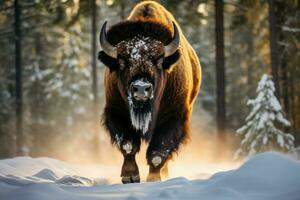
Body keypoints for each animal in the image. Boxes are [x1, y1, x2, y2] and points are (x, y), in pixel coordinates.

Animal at [99, 0, 202, 184]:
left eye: (159, 61)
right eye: (122, 61)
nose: (141, 88)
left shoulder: (173, 117)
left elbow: (158, 151)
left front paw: (153, 179)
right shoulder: (116, 112)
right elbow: (128, 145)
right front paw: (130, 176)